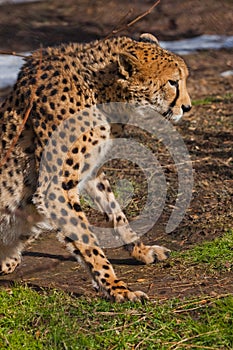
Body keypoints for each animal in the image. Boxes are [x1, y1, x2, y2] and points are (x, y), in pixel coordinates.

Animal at [0, 32, 191, 300]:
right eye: (173, 82)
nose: (187, 107)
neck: (101, 91)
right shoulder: (55, 189)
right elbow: (87, 240)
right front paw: (116, 288)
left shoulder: (90, 173)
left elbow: (116, 213)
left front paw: (141, 251)